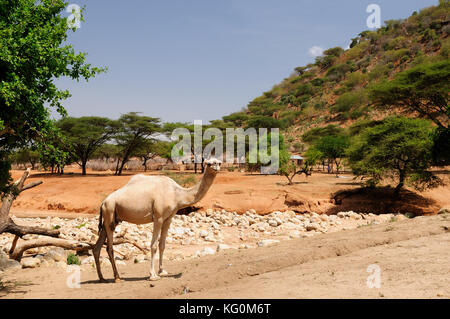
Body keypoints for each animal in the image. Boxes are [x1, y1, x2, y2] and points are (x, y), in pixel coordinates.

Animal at [92, 158, 221, 282]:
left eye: (219, 162)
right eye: (209, 163)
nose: (216, 167)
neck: (177, 194)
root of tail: (103, 203)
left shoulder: (168, 218)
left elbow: (162, 244)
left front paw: (162, 271)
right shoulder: (158, 218)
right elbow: (153, 245)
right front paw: (153, 275)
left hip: (111, 219)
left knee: (97, 248)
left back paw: (102, 278)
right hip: (109, 212)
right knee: (109, 248)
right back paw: (117, 277)